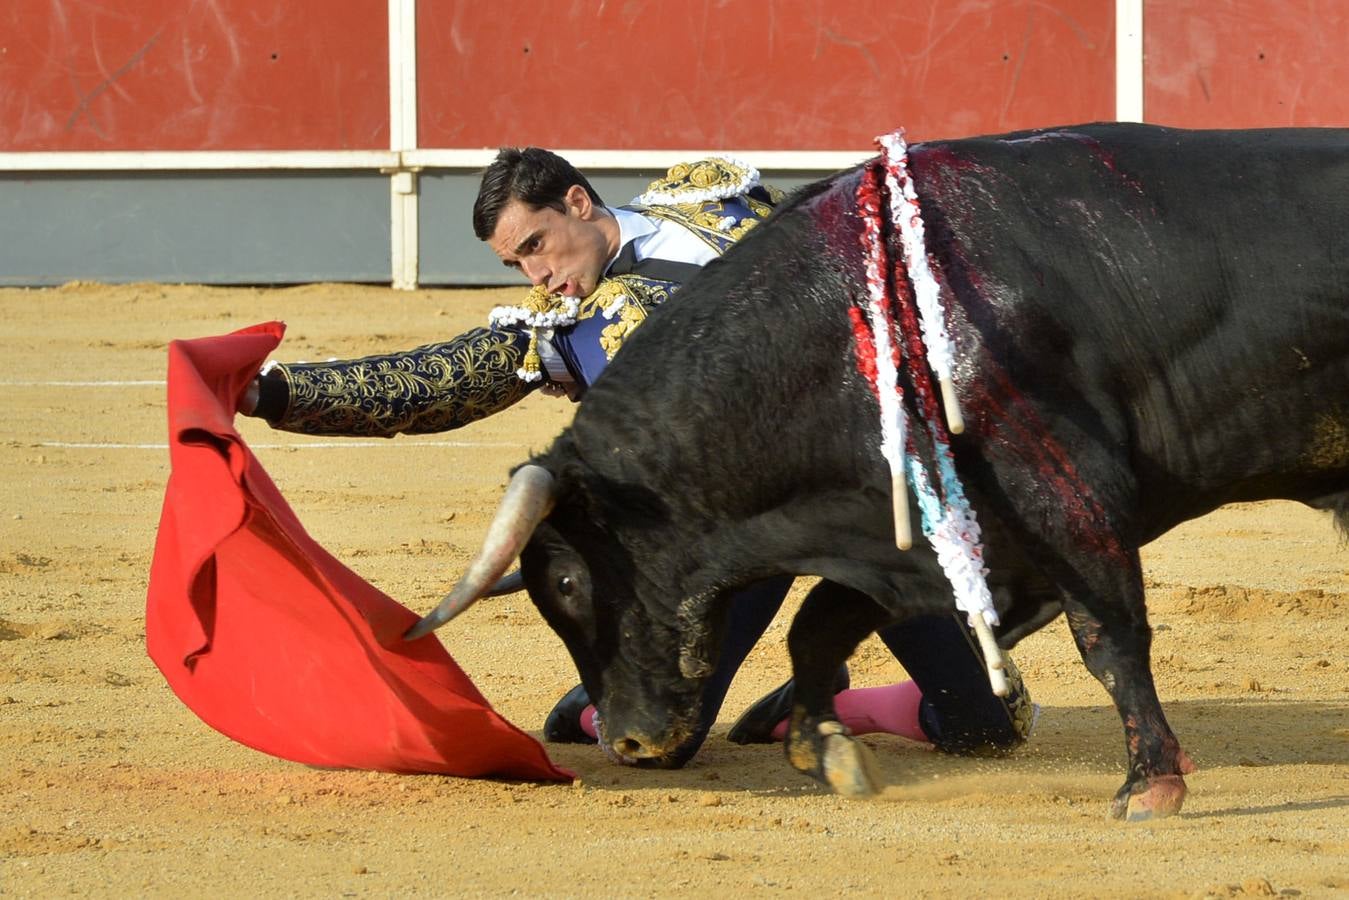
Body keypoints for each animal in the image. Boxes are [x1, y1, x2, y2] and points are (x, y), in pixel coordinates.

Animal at [410, 123, 1349, 820]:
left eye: (567, 581)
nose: (629, 743)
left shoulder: (1062, 494)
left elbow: (1108, 638)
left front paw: (1148, 784)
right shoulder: (910, 533)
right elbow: (818, 621)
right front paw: (823, 748)